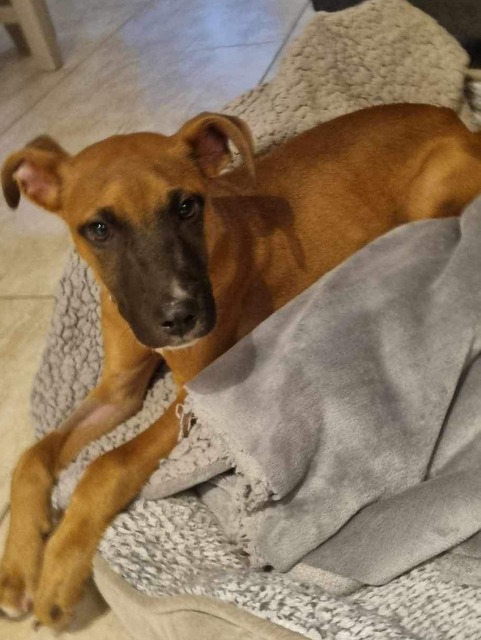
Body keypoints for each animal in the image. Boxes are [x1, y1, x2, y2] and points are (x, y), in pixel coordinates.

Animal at [1, 103, 481, 628]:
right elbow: (33, 456)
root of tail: (455, 121)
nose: (181, 317)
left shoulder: (193, 393)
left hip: (432, 202)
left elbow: (108, 465)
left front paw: (57, 573)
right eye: (99, 229)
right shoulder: (118, 389)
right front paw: (18, 566)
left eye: (187, 206)